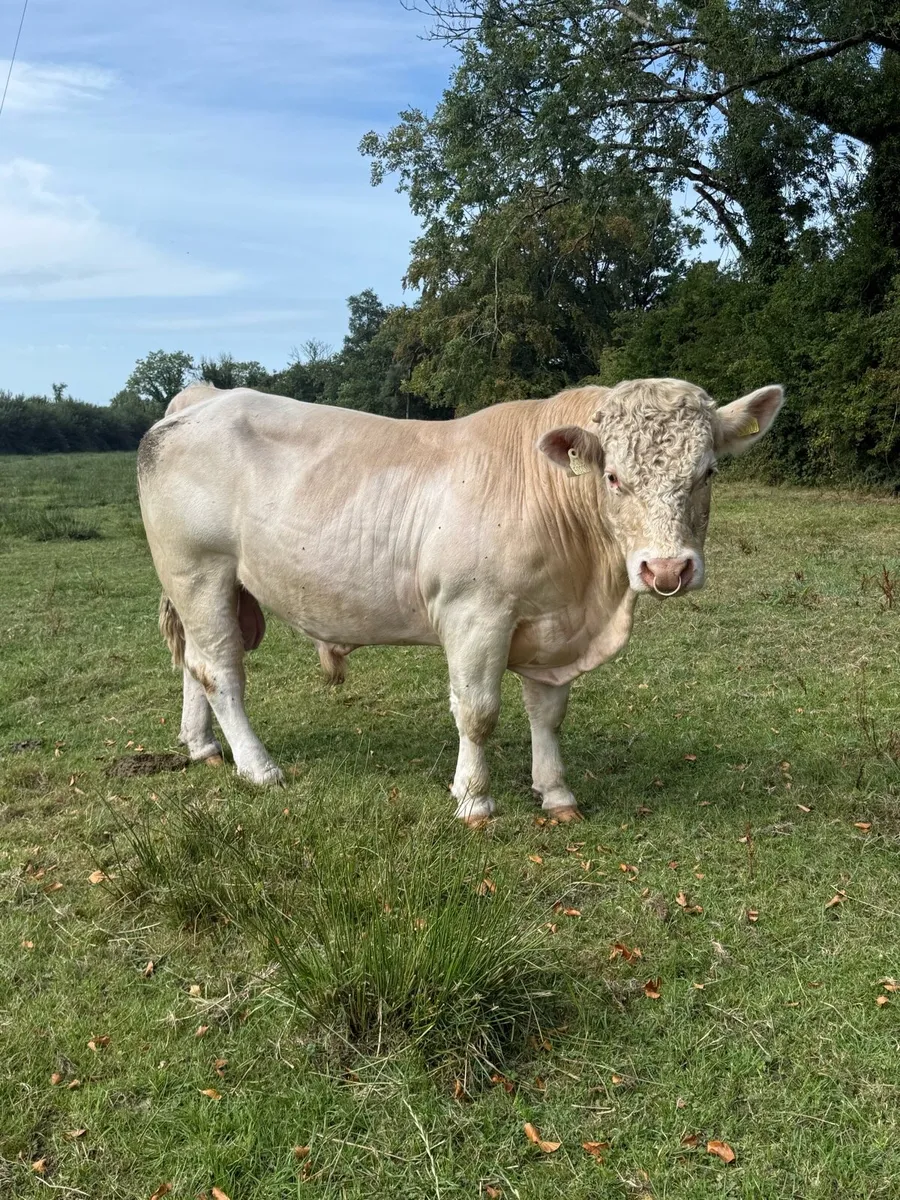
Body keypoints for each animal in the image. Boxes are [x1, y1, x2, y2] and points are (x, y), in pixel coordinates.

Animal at [137, 377, 782, 825]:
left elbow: (547, 714)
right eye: (614, 477)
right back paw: (259, 767)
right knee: (221, 670)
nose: (667, 569)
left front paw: (556, 794)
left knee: (195, 663)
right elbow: (478, 713)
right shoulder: (475, 613)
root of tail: (205, 397)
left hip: (208, 588)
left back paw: (203, 748)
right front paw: (474, 800)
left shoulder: (550, 624)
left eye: (708, 472)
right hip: (199, 570)